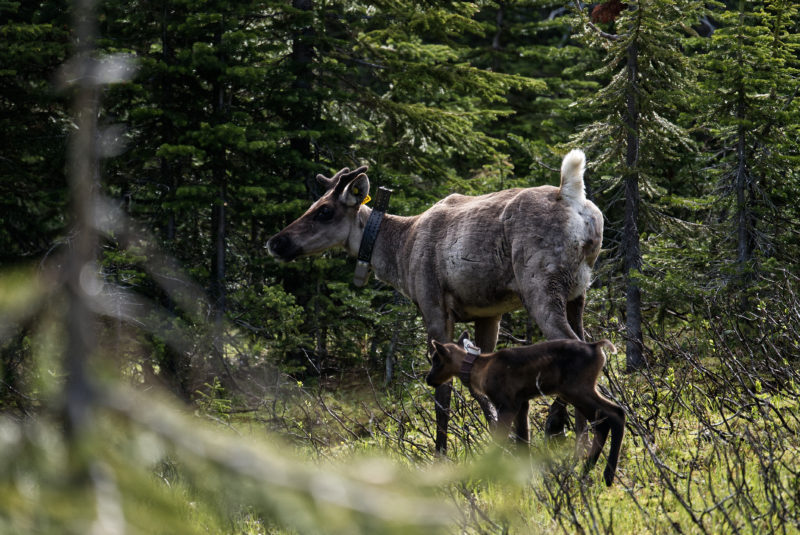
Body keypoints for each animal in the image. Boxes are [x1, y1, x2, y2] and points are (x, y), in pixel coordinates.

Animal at [266, 150, 604, 452]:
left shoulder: (433, 306)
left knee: (575, 346)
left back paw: (558, 426)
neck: (399, 252)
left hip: (541, 286)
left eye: (324, 211)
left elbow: (444, 391)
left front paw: (441, 452)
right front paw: (503, 436)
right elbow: (476, 378)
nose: (275, 242)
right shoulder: (488, 313)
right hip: (578, 293)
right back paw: (581, 438)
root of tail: (572, 197)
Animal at [424, 342, 624, 488]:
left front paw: (487, 479)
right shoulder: (522, 404)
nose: (428, 379)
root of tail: (597, 347)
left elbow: (499, 442)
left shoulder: (507, 404)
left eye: (436, 359)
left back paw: (605, 475)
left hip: (577, 389)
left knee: (614, 414)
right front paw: (528, 481)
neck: (478, 371)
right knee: (609, 418)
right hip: (578, 391)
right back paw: (588, 472)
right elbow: (523, 442)